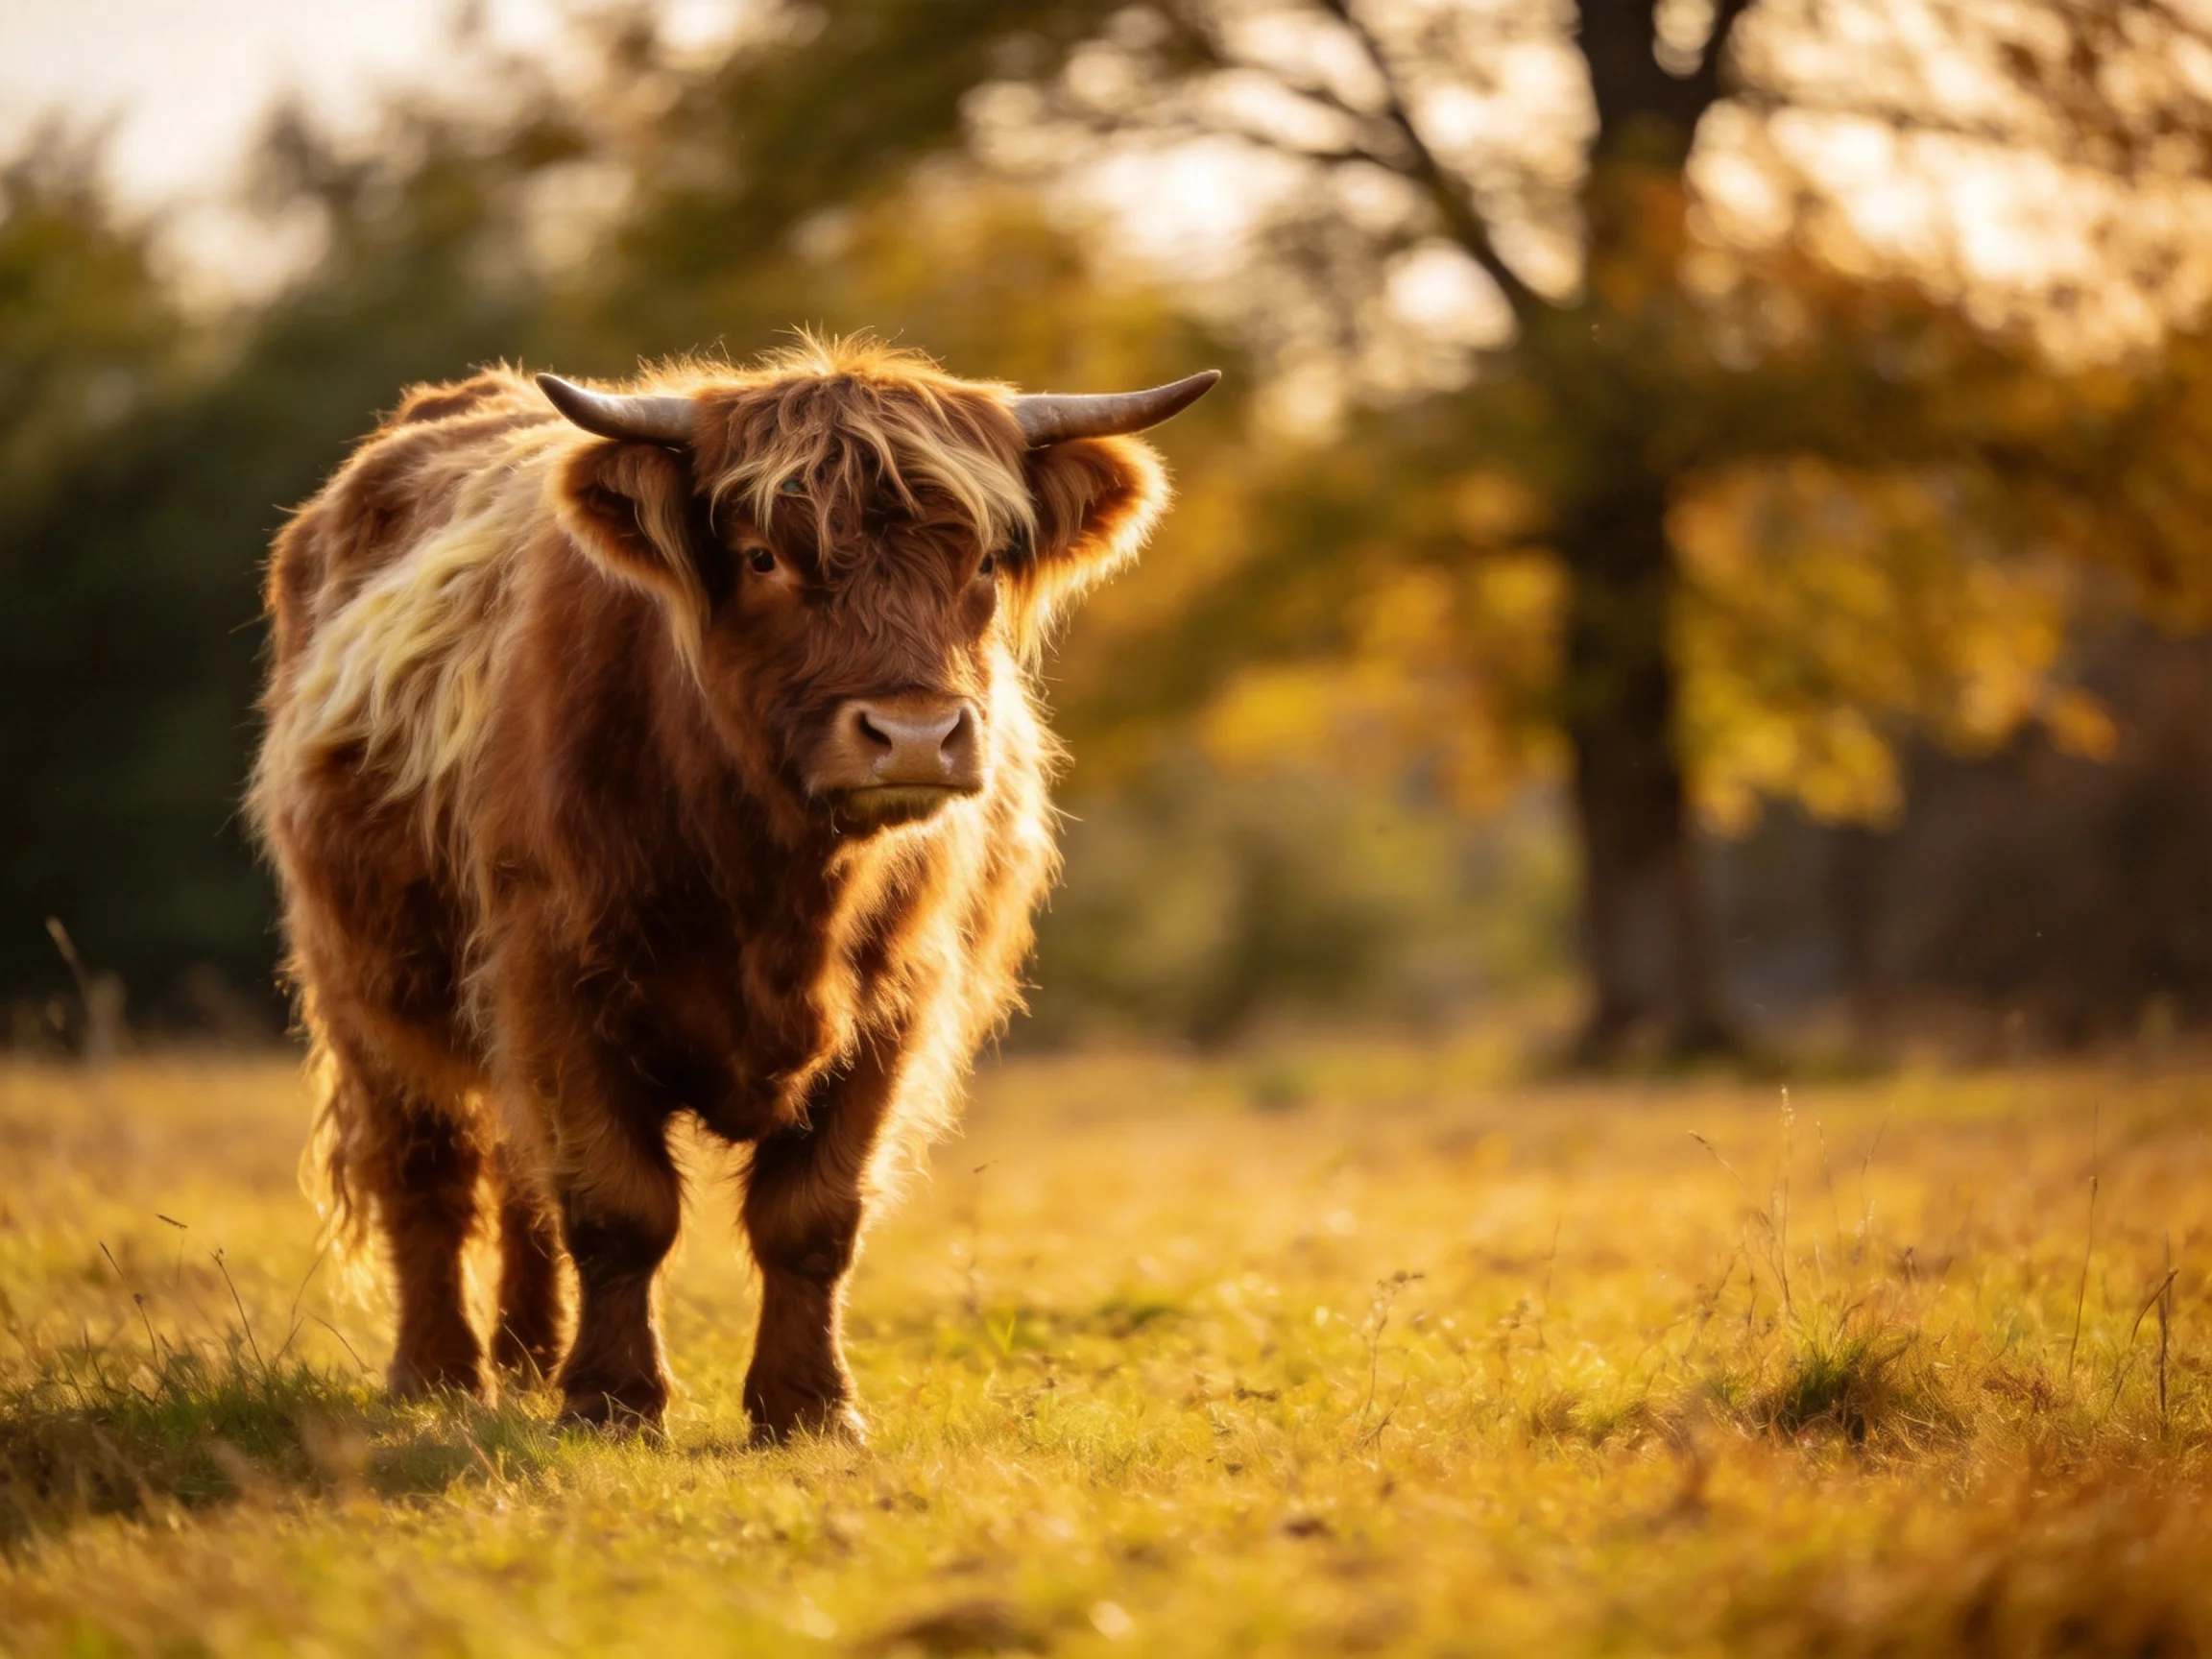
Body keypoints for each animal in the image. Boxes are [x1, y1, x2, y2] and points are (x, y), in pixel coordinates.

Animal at [248, 336, 1216, 1437]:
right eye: (762, 557)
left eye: (982, 559)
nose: (913, 735)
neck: (781, 888)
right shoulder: (552, 979)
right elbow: (617, 1207)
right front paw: (614, 1401)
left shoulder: (899, 1003)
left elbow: (815, 1215)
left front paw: (807, 1408)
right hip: (363, 984)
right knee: (429, 1171)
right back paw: (440, 1373)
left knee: (516, 1181)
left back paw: (528, 1358)